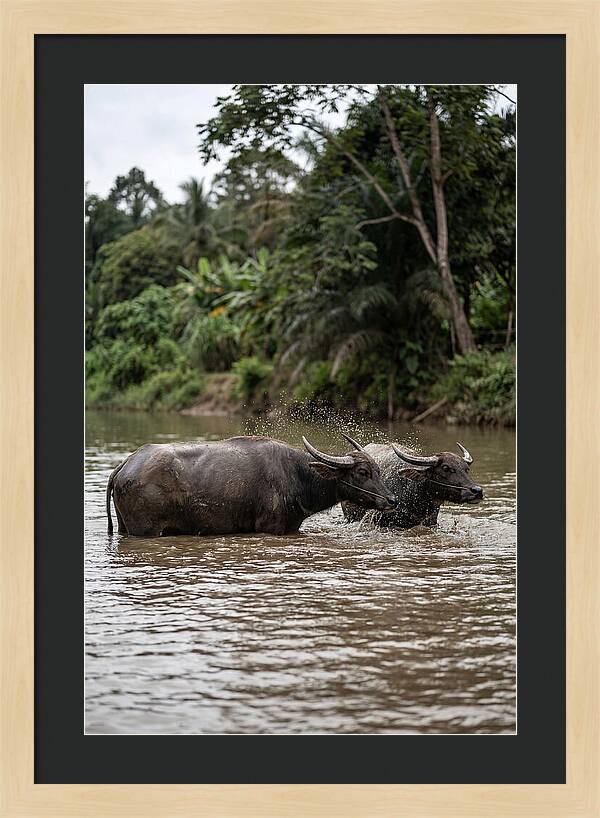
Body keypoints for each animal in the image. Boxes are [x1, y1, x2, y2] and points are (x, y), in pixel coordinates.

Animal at [106, 433, 398, 537]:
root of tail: (125, 464)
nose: (392, 499)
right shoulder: (271, 527)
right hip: (146, 530)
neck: (297, 476)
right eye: (362, 471)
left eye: (378, 470)